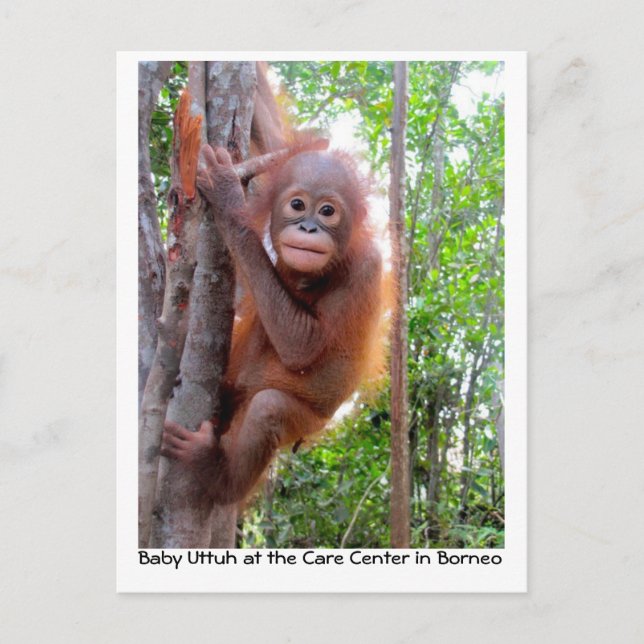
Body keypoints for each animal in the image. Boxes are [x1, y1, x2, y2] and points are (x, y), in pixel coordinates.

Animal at [160, 143, 385, 505]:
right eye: (297, 205)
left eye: (327, 211)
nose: (309, 228)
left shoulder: (365, 267)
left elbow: (301, 345)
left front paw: (228, 197)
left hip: (307, 423)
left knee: (269, 408)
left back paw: (217, 476)